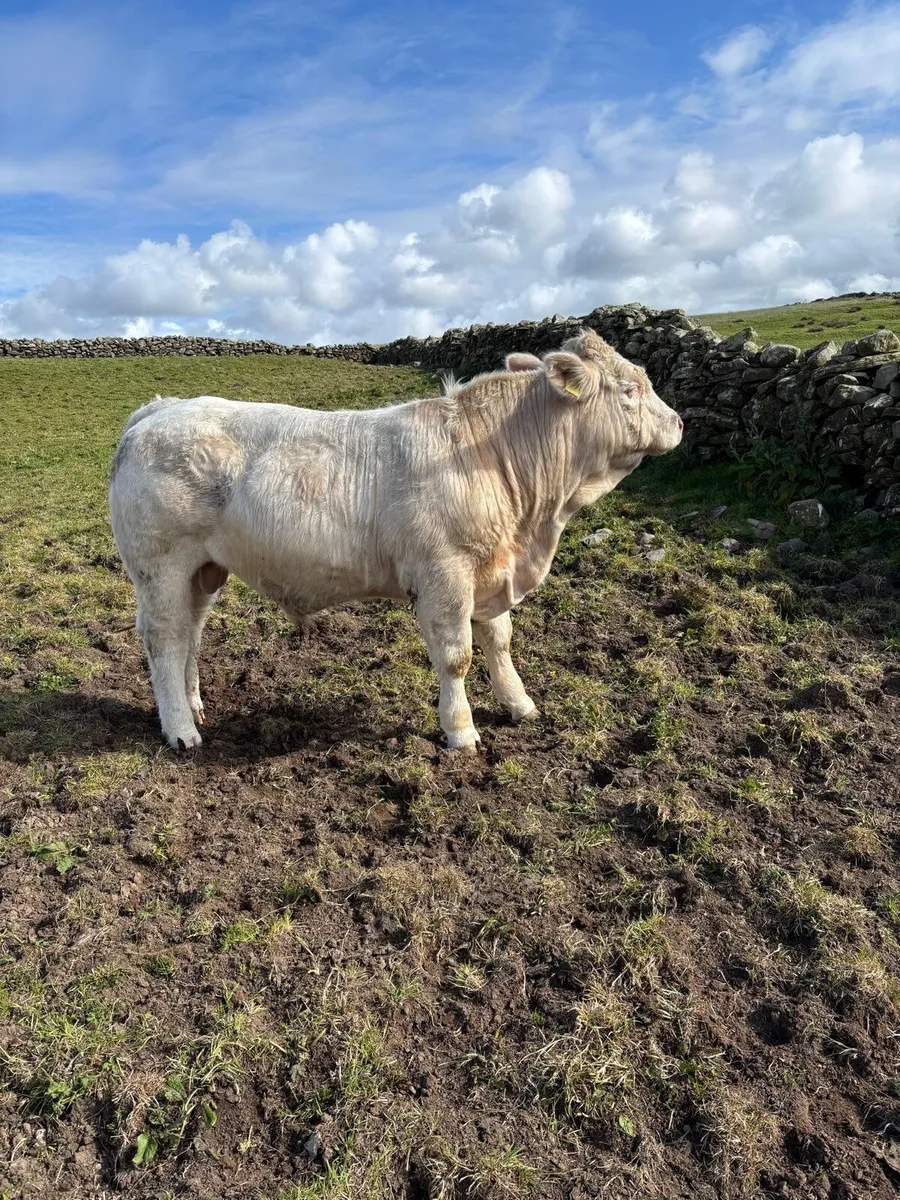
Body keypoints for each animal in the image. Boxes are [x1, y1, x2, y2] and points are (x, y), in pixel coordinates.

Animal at [108, 330, 683, 751]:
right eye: (630, 390)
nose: (679, 422)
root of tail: (159, 409)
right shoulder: (446, 575)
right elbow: (456, 657)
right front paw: (461, 731)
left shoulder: (491, 572)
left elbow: (499, 641)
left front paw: (519, 704)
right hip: (161, 566)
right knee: (165, 636)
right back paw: (181, 730)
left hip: (204, 569)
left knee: (191, 635)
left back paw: (193, 705)